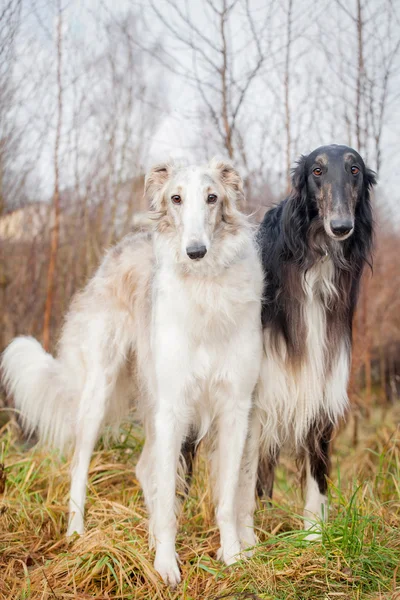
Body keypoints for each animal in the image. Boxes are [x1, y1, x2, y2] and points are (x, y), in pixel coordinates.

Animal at [3, 159, 266, 584]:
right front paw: (166, 565)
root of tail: (116, 250)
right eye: (176, 198)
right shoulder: (174, 406)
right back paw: (77, 533)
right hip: (101, 391)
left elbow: (226, 500)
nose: (195, 252)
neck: (205, 289)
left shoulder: (236, 407)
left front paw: (233, 556)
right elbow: (168, 501)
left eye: (212, 197)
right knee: (80, 466)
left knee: (146, 471)